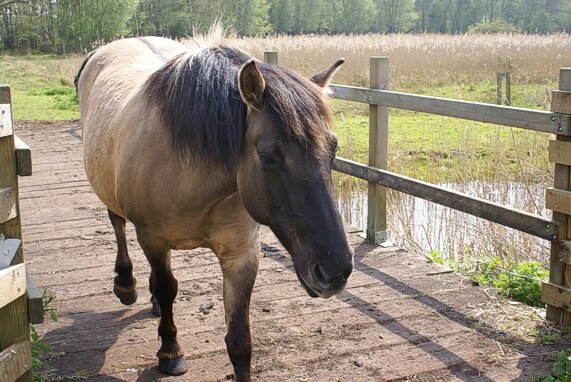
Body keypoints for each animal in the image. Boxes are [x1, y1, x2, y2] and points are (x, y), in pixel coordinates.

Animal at [76, 31, 354, 380]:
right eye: (268, 156)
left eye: (333, 150)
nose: (335, 271)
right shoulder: (152, 239)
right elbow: (167, 287)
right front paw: (170, 352)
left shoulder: (241, 254)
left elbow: (239, 341)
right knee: (117, 224)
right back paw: (126, 284)